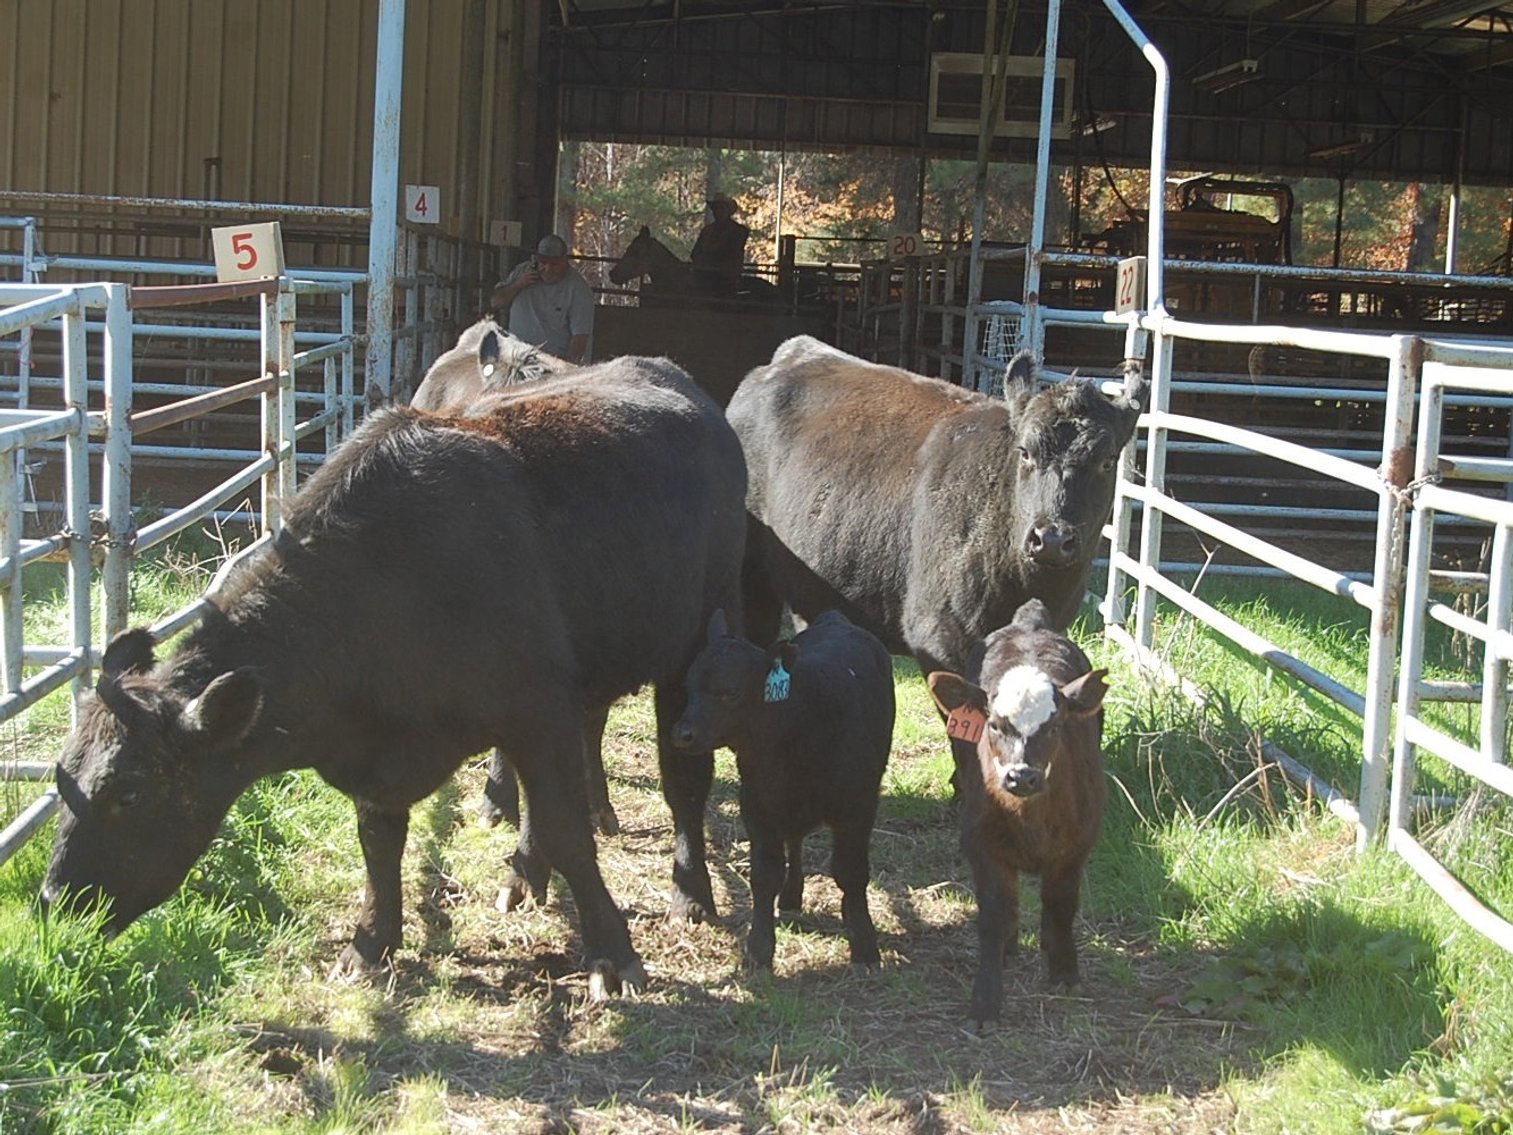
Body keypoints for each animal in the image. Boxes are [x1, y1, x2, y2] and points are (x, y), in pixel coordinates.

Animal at [672, 609, 894, 971]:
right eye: (689, 687)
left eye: (731, 692)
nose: (682, 734)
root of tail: (835, 619)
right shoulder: (757, 804)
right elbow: (765, 874)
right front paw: (758, 948)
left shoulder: (857, 805)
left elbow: (851, 873)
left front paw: (864, 945)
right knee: (795, 841)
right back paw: (791, 896)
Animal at [925, 599, 1109, 1027]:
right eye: (993, 724)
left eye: (1056, 726)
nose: (1021, 776)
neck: (1030, 821)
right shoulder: (980, 844)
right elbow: (994, 914)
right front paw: (985, 1001)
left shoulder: (1077, 845)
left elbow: (1061, 904)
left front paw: (1065, 971)